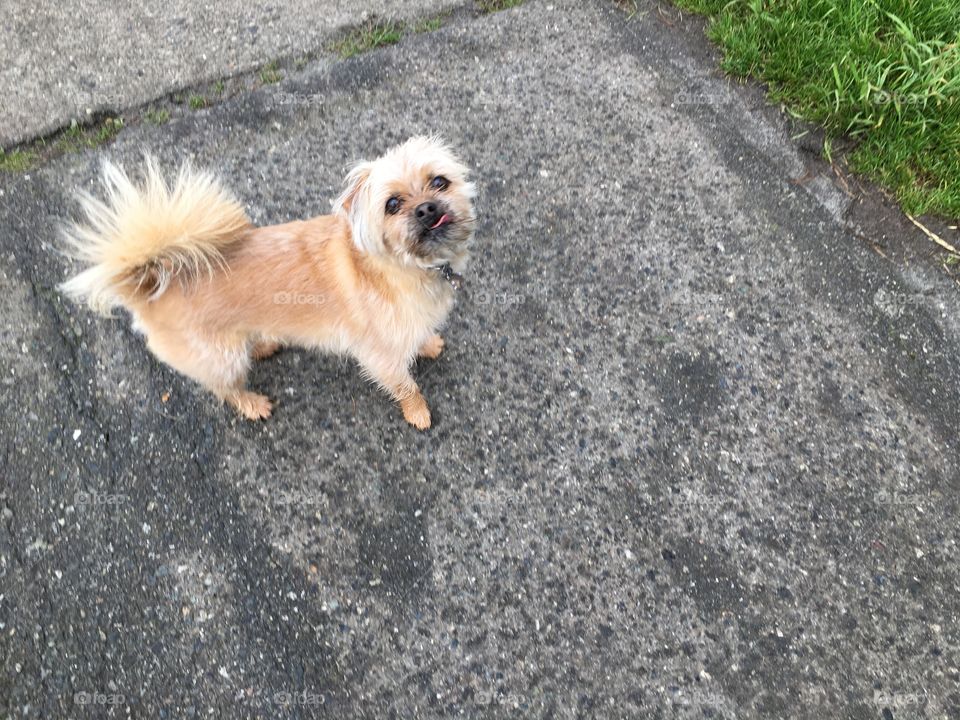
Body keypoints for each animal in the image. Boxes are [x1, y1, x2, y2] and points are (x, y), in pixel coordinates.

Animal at [60, 136, 476, 428]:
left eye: (439, 182)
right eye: (392, 204)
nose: (426, 209)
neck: (399, 266)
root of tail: (150, 284)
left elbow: (420, 336)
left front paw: (427, 344)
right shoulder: (381, 357)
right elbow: (406, 386)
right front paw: (417, 411)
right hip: (221, 358)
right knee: (223, 387)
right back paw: (251, 403)